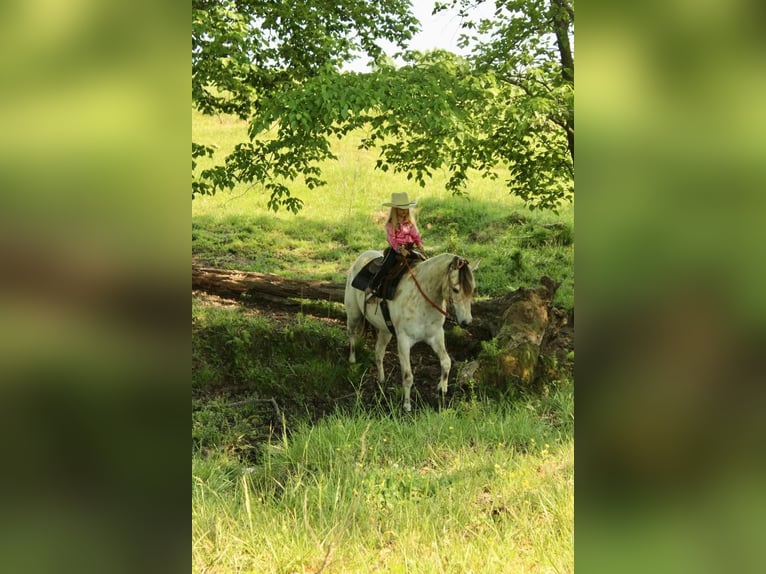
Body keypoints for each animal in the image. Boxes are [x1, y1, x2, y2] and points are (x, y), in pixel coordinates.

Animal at [346, 254, 476, 412]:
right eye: (456, 289)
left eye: (473, 289)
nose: (466, 322)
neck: (422, 299)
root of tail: (362, 257)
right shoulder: (404, 341)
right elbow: (408, 376)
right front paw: (407, 405)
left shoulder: (436, 336)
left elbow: (446, 362)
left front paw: (442, 389)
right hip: (353, 315)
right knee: (351, 334)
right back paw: (352, 359)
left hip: (385, 331)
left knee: (379, 352)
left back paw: (381, 379)